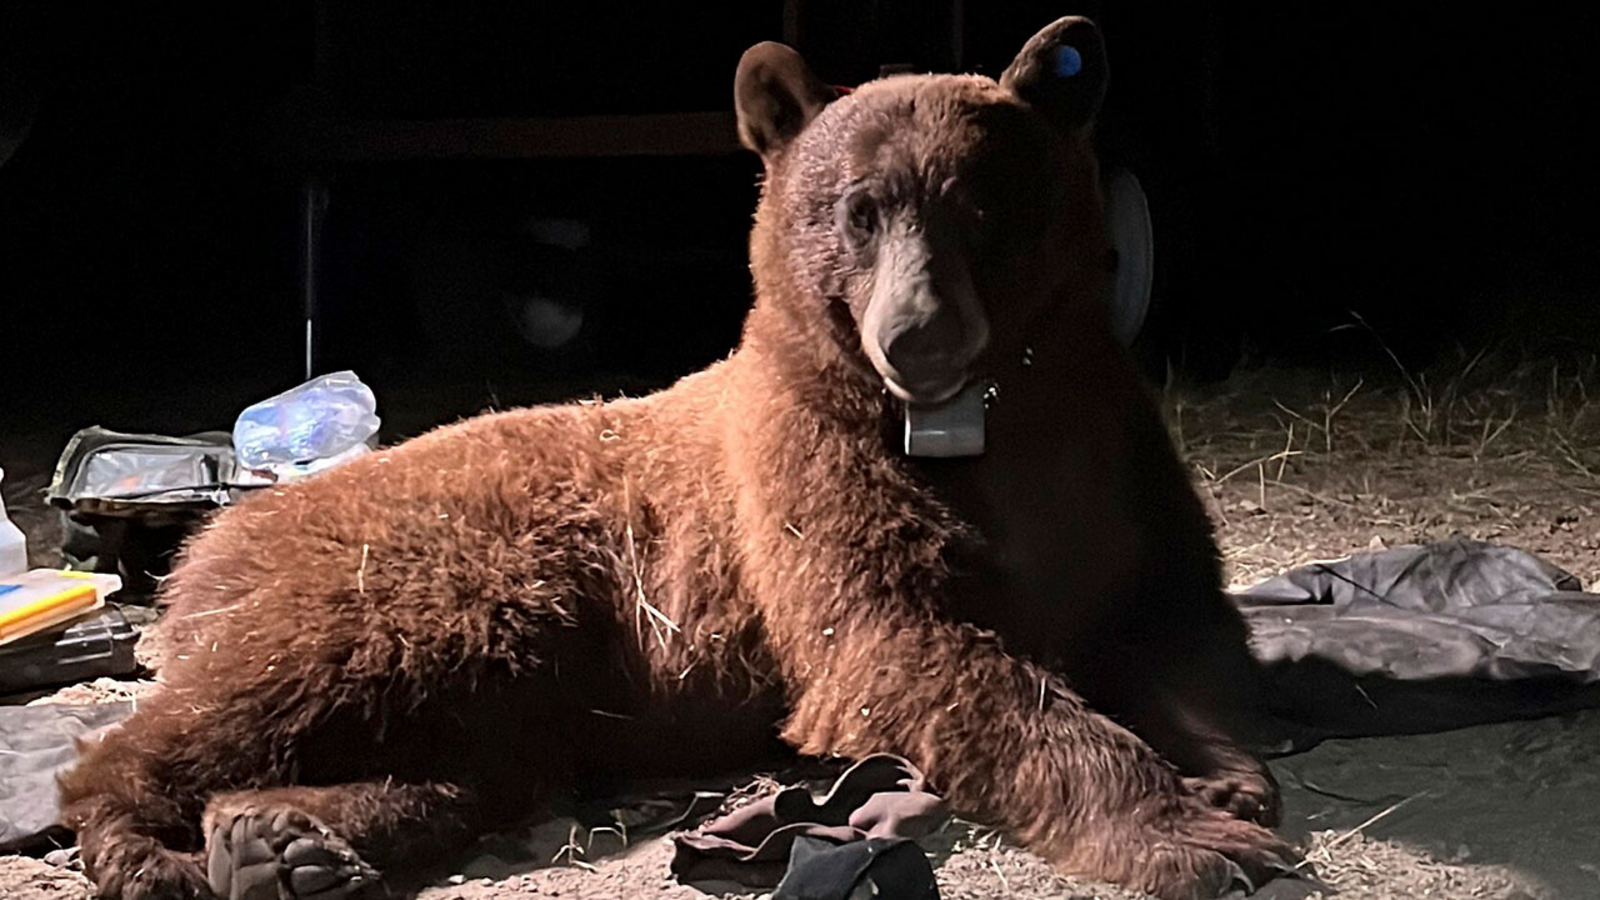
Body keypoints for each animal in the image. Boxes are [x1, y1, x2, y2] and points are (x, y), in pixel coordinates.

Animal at [58, 17, 1295, 900]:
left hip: (505, 664)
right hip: (410, 590)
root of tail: (220, 533)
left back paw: (287, 838)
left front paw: (1225, 773)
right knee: (237, 706)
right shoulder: (810, 485)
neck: (975, 418)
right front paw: (1191, 833)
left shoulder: (1113, 456)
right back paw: (157, 845)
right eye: (857, 209)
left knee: (475, 761)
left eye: (980, 205)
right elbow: (917, 650)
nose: (918, 336)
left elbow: (1175, 616)